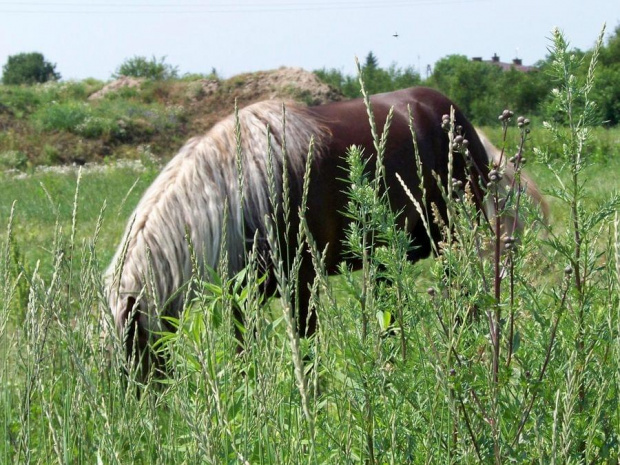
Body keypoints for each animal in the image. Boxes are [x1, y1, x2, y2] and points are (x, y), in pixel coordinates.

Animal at [101, 86, 536, 374]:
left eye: (133, 352)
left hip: (455, 238)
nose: (147, 415)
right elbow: (244, 352)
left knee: (466, 297)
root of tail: (453, 115)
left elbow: (306, 353)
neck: (247, 187)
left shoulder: (301, 284)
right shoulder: (241, 295)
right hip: (385, 256)